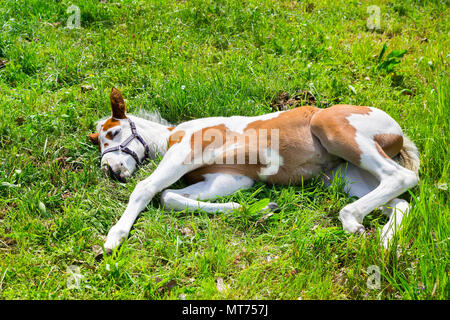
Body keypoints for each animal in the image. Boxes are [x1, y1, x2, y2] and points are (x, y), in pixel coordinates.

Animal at [89, 87, 420, 255]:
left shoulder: (185, 153)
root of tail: (398, 131)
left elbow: (147, 188)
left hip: (334, 130)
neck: (175, 134)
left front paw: (114, 238)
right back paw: (386, 243)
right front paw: (254, 209)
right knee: (400, 200)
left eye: (114, 133)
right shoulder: (230, 178)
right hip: (343, 177)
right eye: (100, 144)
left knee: (402, 177)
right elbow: (170, 197)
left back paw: (353, 223)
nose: (110, 170)